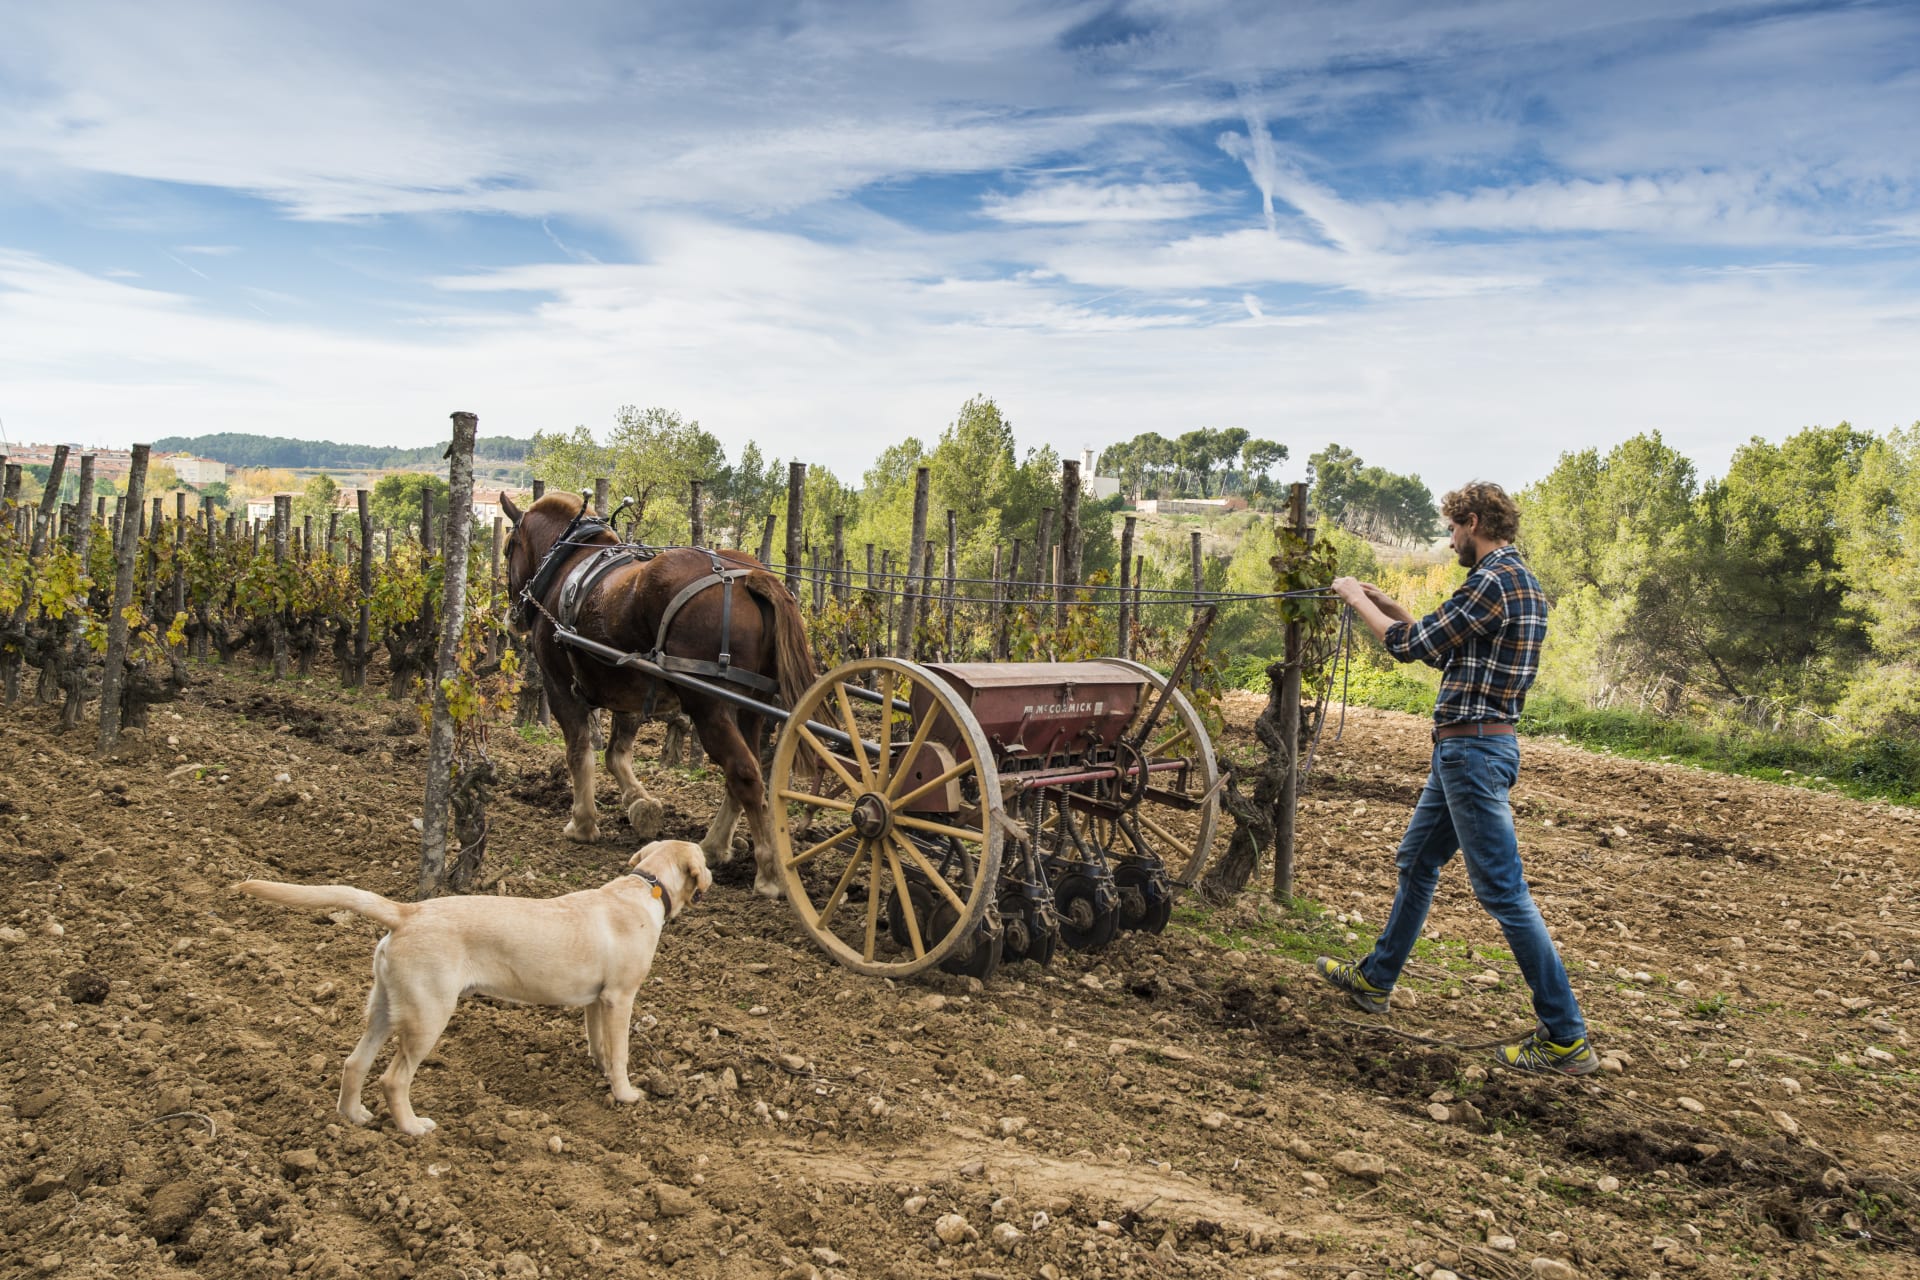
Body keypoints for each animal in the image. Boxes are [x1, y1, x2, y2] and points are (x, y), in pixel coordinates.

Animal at [236, 844, 710, 1136]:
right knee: (393, 1079)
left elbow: (599, 1043)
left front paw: (602, 1068)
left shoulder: (598, 1000)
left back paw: (354, 1117)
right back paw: (412, 1128)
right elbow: (623, 1052)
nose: (715, 876)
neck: (647, 886)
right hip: (429, 1015)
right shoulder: (620, 997)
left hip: (386, 1008)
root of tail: (407, 913)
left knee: (354, 1063)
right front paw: (626, 1094)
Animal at [499, 495, 814, 901]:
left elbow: (578, 751)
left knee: (742, 771)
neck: (570, 561)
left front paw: (582, 823)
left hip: (708, 705)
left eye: (508, 547)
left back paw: (770, 872)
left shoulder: (559, 688)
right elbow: (616, 752)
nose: (514, 615)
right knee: (746, 771)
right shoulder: (630, 689)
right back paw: (714, 846)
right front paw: (640, 803)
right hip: (748, 705)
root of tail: (751, 578)